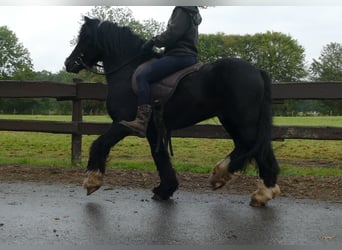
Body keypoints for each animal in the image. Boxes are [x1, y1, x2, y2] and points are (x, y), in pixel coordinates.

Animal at [65, 16, 280, 206]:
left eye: (85, 37)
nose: (69, 63)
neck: (128, 70)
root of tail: (257, 71)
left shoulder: (124, 123)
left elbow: (99, 144)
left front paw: (92, 181)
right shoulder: (153, 129)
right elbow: (160, 158)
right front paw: (165, 189)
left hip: (242, 121)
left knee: (254, 149)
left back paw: (255, 190)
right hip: (235, 121)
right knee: (250, 148)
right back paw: (236, 182)